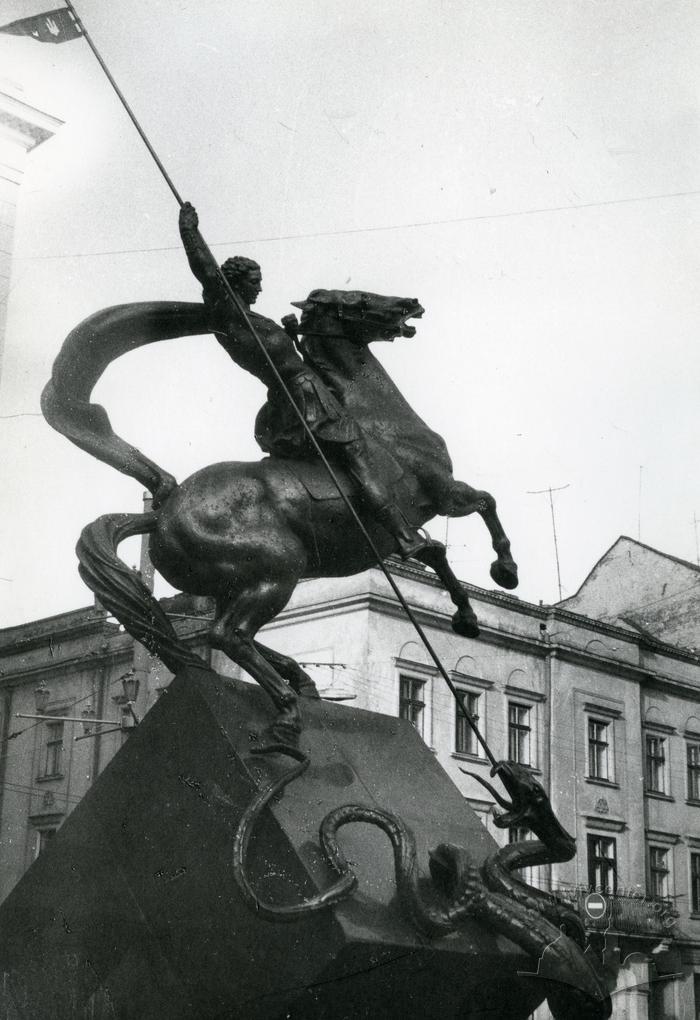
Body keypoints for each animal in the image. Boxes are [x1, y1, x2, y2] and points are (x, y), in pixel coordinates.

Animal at [41, 291, 518, 746]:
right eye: (356, 300)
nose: (409, 304)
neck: (384, 425)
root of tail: (163, 511)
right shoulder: (442, 494)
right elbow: (473, 516)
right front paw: (497, 580)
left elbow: (455, 538)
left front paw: (473, 606)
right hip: (278, 571)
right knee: (228, 635)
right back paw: (288, 713)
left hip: (234, 584)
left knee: (221, 632)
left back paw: (301, 682)